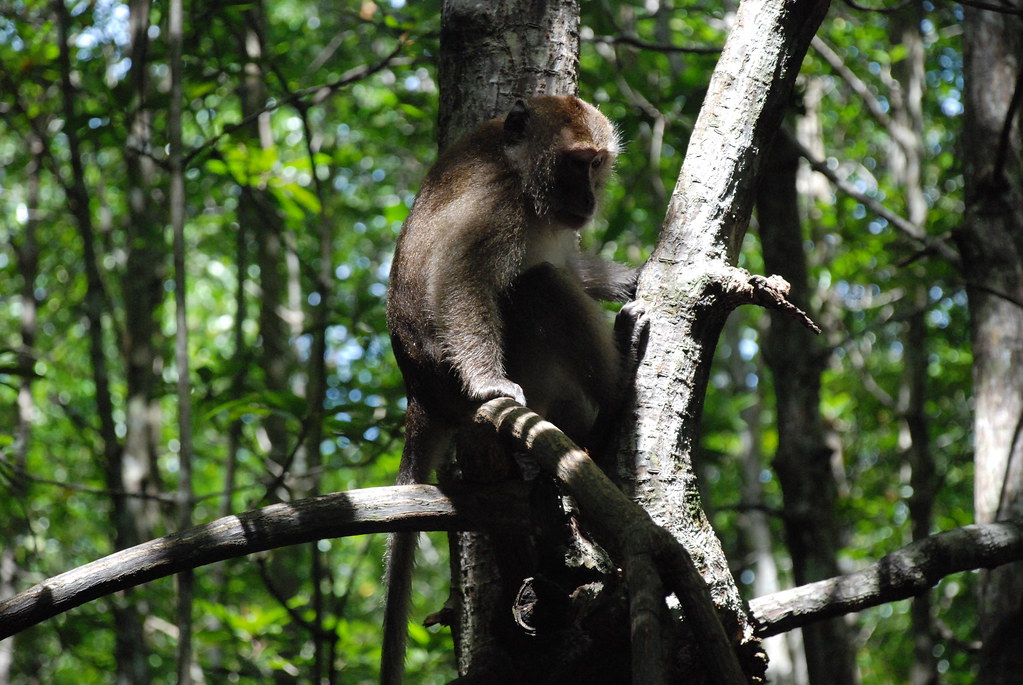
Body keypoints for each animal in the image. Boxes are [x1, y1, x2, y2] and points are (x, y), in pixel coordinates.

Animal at [384, 94, 638, 682]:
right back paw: (617, 391)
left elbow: (567, 263)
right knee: (537, 286)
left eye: (597, 163)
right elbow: (463, 280)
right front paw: (490, 382)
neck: (519, 171)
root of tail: (421, 397)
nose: (589, 197)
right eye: (576, 162)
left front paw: (629, 280)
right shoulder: (494, 206)